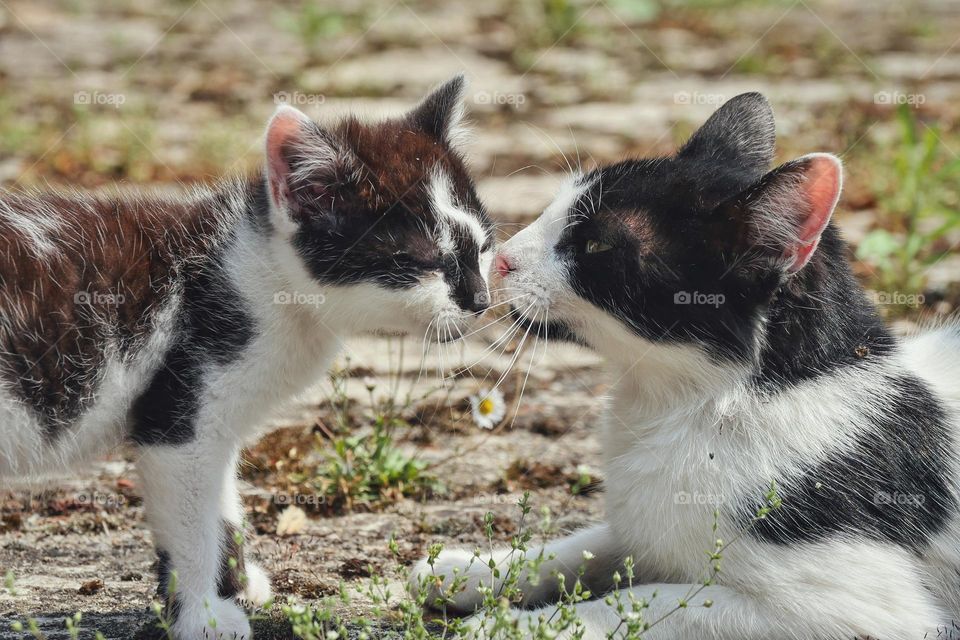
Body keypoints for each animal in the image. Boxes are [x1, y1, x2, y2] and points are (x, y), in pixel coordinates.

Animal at [0, 76, 496, 640]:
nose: (481, 301)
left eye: (482, 248)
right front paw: (202, 612)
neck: (258, 274)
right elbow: (192, 521)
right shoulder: (181, 412)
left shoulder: (216, 425)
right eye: (424, 261)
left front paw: (234, 582)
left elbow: (222, 503)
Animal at [416, 92, 960, 636]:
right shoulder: (639, 529)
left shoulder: (861, 613)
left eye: (596, 245)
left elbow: (645, 601)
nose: (501, 259)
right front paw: (473, 570)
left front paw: (514, 625)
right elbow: (593, 546)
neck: (694, 404)